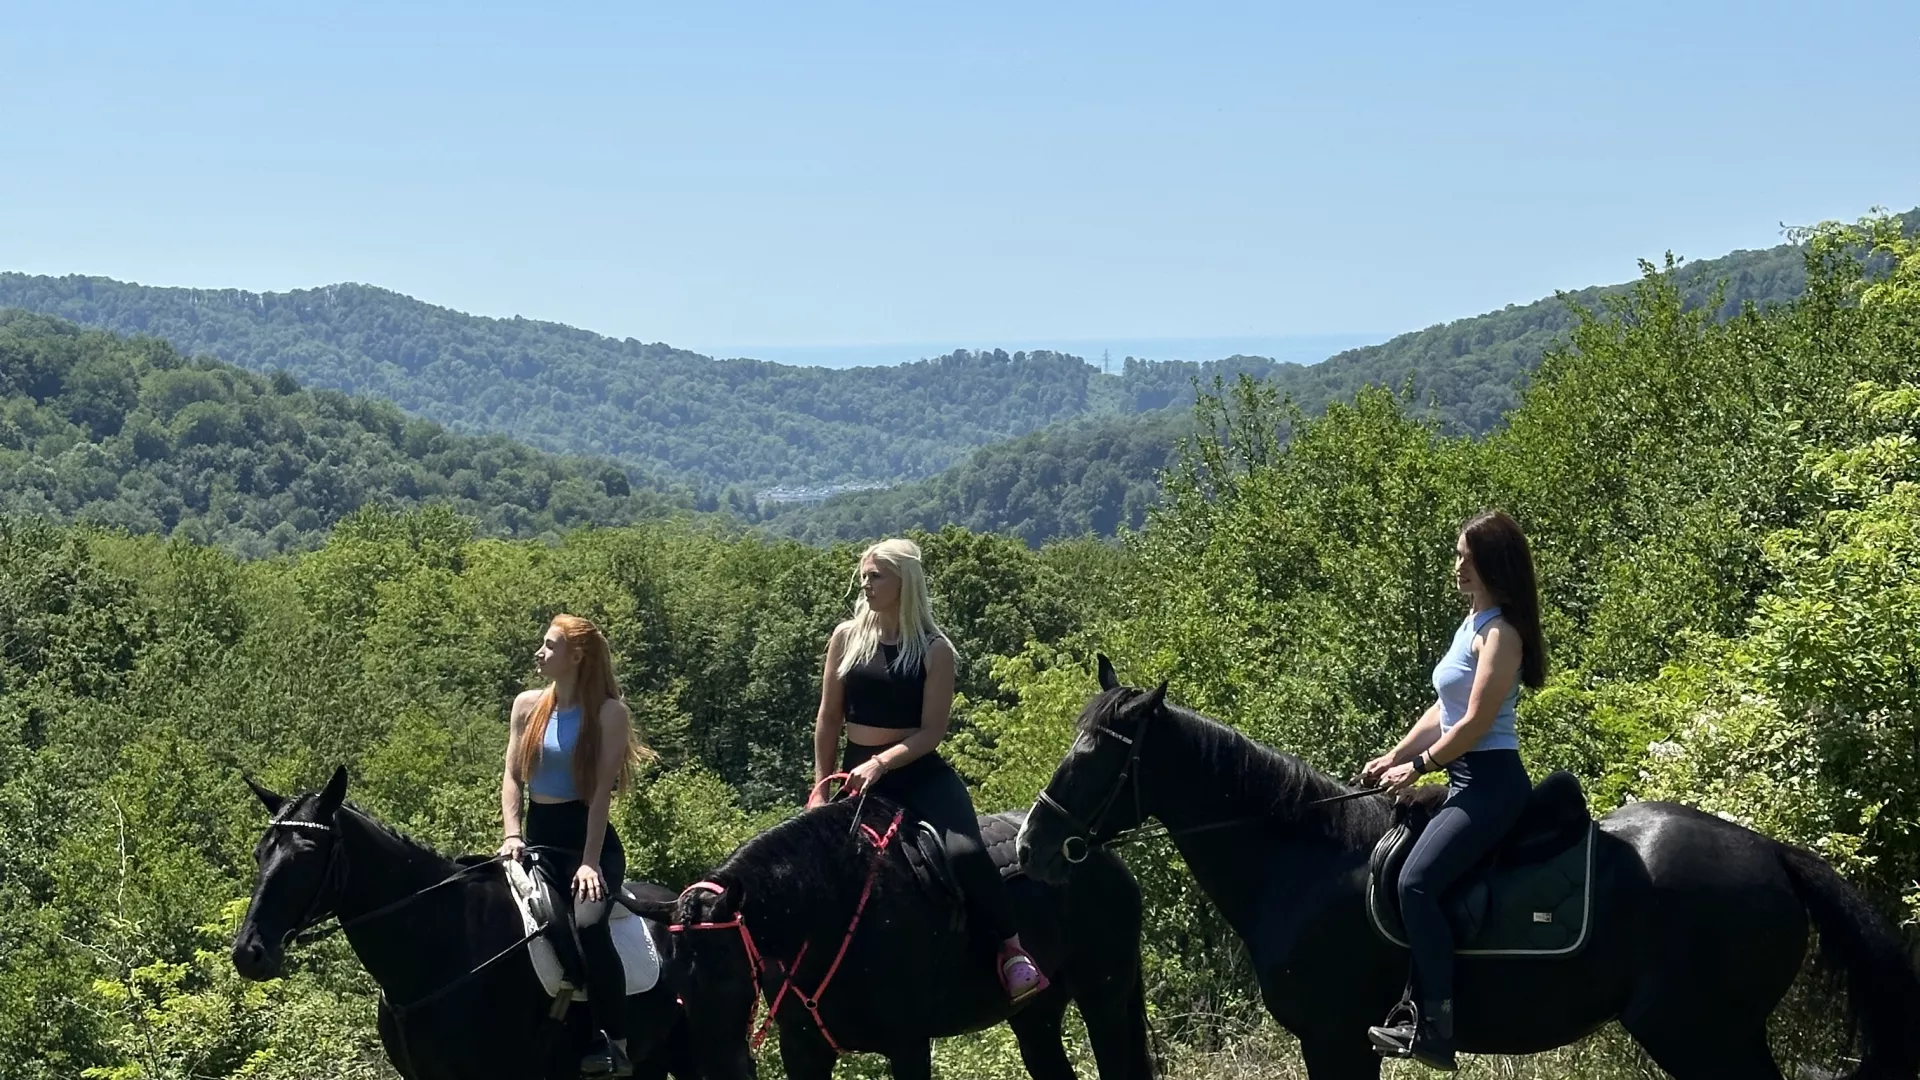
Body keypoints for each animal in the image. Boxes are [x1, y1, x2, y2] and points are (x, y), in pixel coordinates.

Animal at [643, 793, 1153, 1080]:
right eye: (676, 985)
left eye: (729, 974)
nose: (716, 1071)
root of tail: (1103, 855)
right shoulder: (804, 1051)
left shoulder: (907, 1045)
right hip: (1036, 1017)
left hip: (1103, 998)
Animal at [1014, 658, 1920, 1080]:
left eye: (1095, 757)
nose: (1027, 847)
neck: (1299, 864)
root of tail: (1773, 855)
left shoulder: (1335, 1038)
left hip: (1701, 1031)